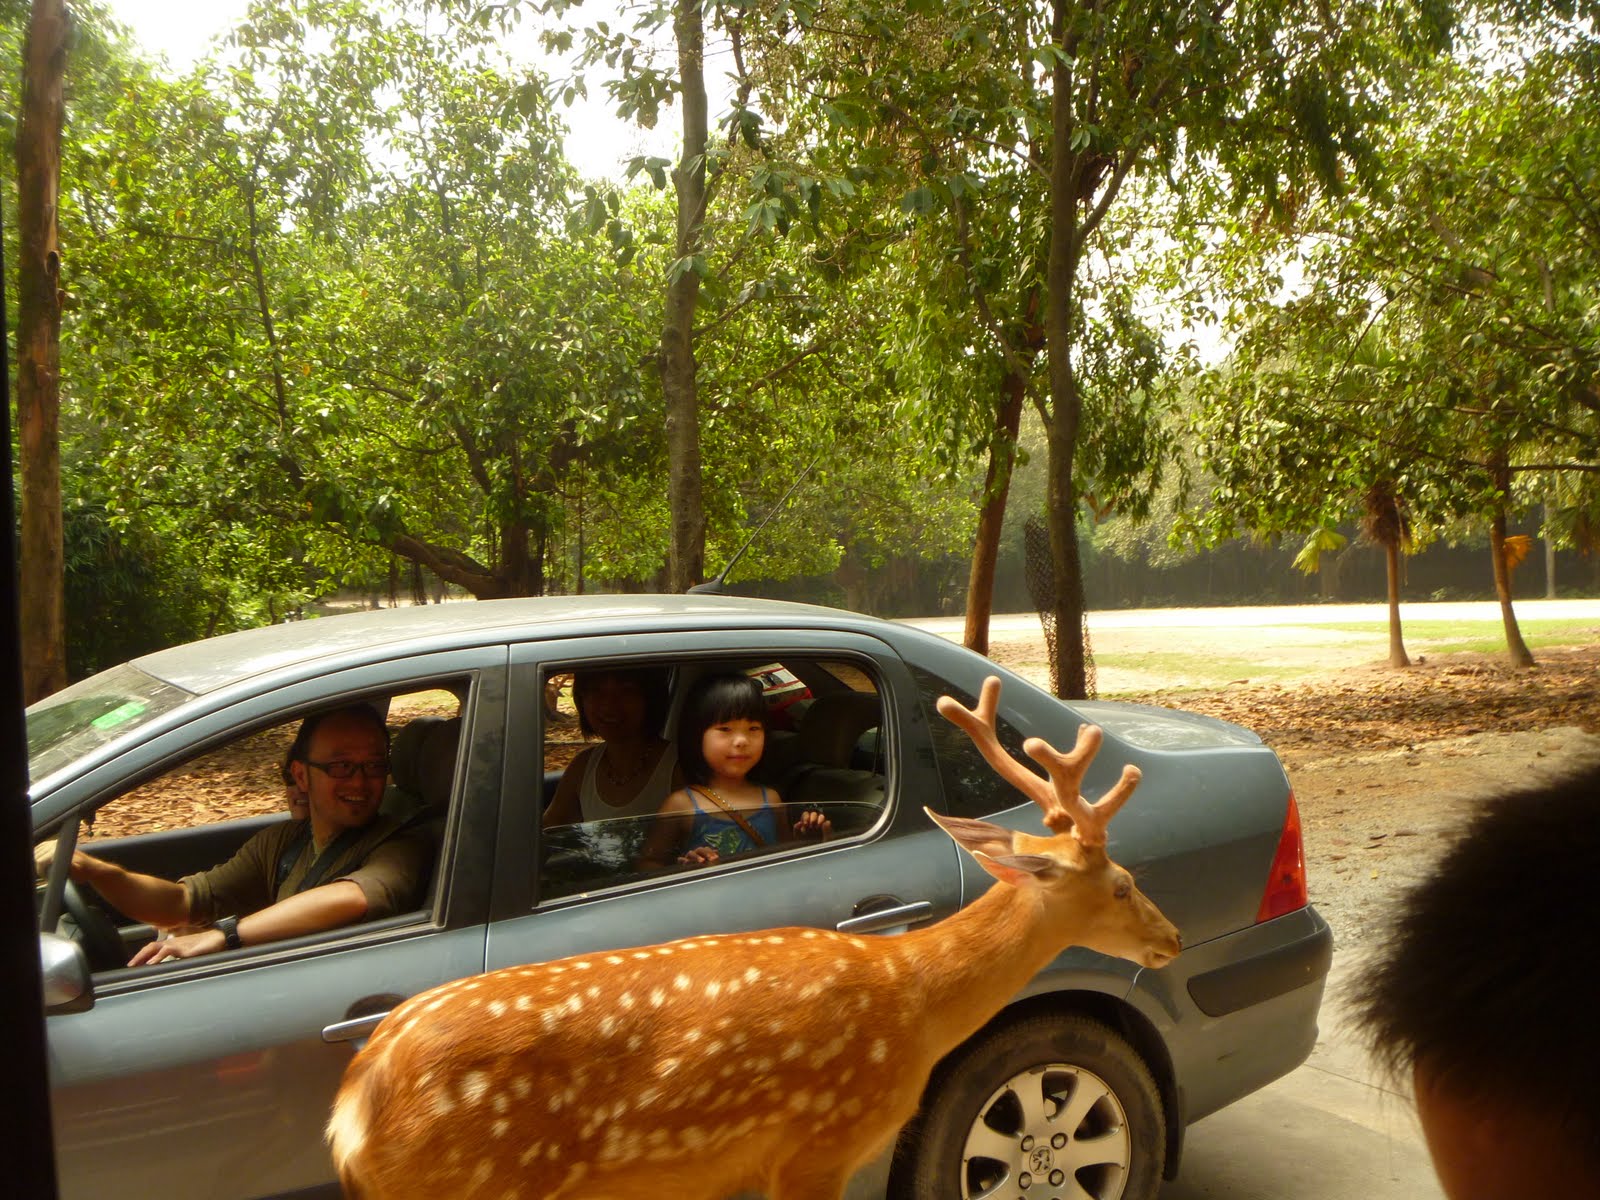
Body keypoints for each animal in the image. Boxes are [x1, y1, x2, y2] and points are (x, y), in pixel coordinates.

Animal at [326, 675, 1182, 1200]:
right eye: (1121, 883)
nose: (1171, 938)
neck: (912, 1002)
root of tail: (350, 1110)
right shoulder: (821, 1140)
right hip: (469, 1179)